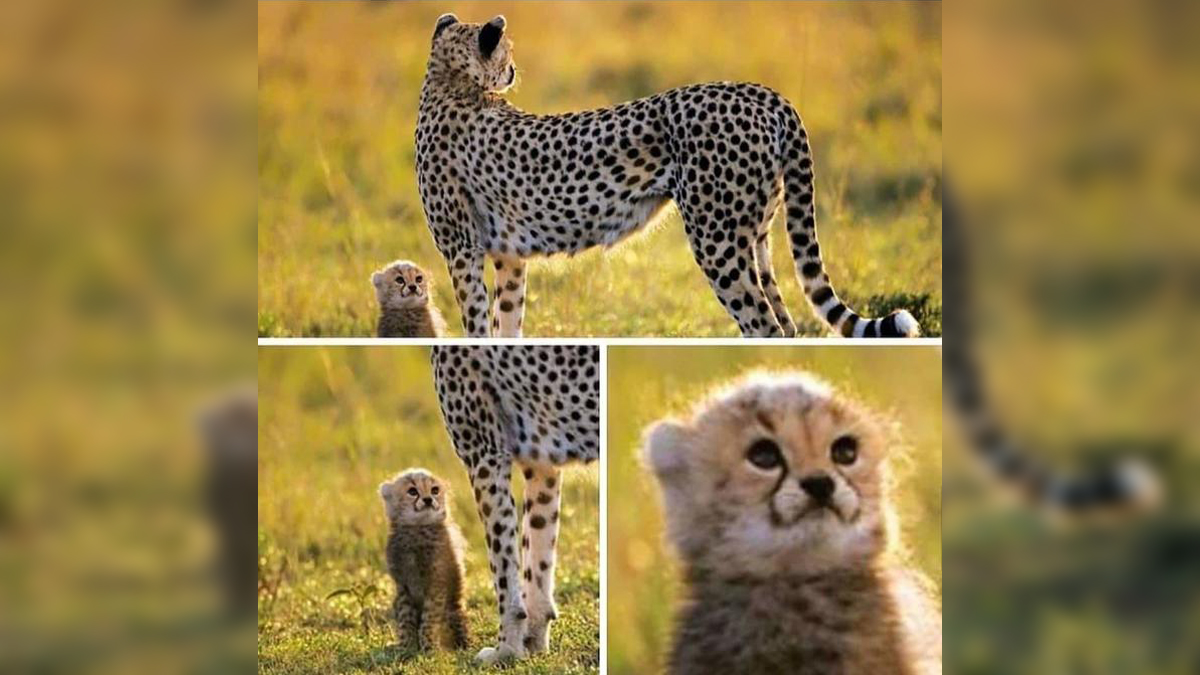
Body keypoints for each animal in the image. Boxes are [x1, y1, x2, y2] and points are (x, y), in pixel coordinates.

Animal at [414, 13, 921, 338]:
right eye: (508, 53)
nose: (514, 69)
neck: (447, 83)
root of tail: (762, 92)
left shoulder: (463, 251)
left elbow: (479, 327)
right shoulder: (507, 256)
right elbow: (505, 326)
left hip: (716, 238)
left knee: (763, 323)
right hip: (757, 235)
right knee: (787, 321)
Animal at [430, 345, 599, 664]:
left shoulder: (485, 455)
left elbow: (504, 566)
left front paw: (506, 650)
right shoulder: (542, 463)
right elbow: (537, 557)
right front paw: (532, 643)